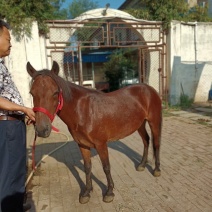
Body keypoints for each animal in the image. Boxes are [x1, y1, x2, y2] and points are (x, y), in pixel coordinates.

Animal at [26, 60, 162, 203]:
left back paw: (157, 169)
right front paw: (86, 192)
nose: (42, 129)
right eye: (32, 93)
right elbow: (87, 167)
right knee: (146, 140)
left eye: (55, 92)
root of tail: (149, 89)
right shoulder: (82, 145)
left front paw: (109, 192)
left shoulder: (101, 144)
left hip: (154, 122)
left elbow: (106, 167)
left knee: (156, 143)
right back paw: (142, 165)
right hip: (139, 124)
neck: (83, 111)